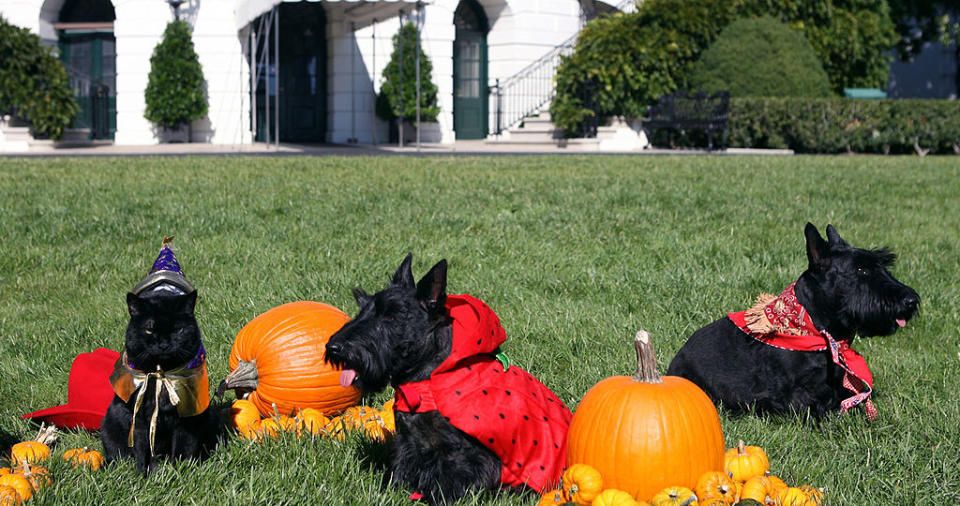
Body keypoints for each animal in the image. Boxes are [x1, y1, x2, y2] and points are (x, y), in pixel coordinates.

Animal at [101, 239, 221, 472]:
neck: (160, 374)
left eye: (177, 329)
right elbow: (142, 451)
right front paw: (144, 475)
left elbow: (183, 449)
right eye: (149, 329)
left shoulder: (186, 417)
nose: (164, 344)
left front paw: (180, 473)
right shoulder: (140, 420)